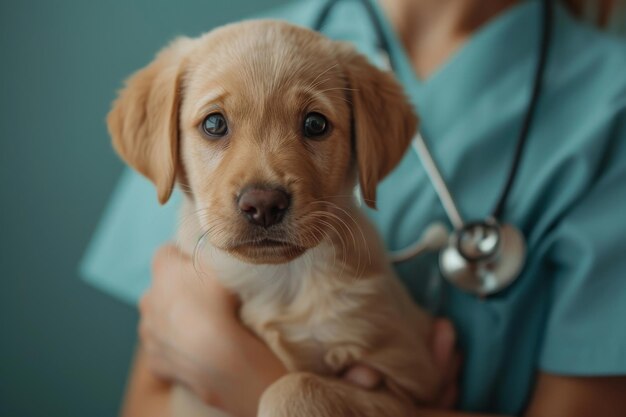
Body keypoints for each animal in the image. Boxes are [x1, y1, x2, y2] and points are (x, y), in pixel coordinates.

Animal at [107, 20, 438, 416]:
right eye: (214, 123)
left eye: (315, 124)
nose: (263, 205)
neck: (277, 281)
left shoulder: (412, 384)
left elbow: (294, 386)